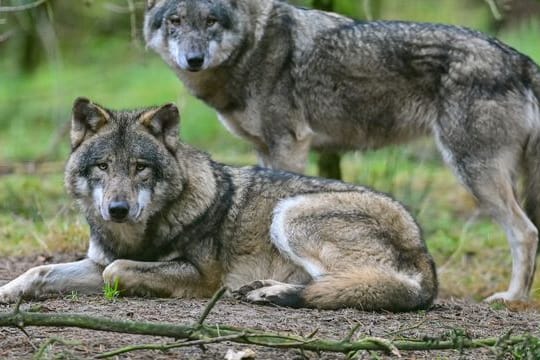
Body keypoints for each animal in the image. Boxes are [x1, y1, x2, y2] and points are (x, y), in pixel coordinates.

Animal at [0, 99, 436, 312]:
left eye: (140, 167)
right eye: (103, 166)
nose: (118, 209)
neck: (140, 235)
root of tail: (423, 250)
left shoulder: (200, 276)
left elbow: (117, 271)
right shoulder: (96, 261)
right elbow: (40, 271)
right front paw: (8, 292)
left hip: (290, 213)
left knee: (362, 285)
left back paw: (271, 294)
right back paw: (264, 290)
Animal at [142, 0, 540, 302]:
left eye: (210, 20)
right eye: (176, 21)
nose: (193, 59)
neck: (254, 45)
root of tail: (521, 60)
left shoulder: (290, 144)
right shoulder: (264, 149)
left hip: (473, 173)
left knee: (525, 232)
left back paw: (512, 299)